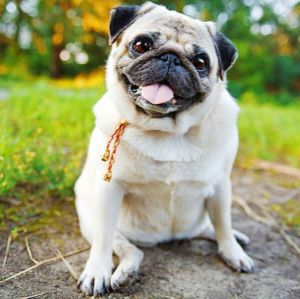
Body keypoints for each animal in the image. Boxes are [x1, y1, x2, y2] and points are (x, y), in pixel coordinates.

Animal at [74, 2, 254, 298]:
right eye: (141, 45)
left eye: (200, 62)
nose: (171, 58)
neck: (168, 131)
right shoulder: (108, 191)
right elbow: (103, 240)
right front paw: (97, 271)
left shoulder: (220, 186)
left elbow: (224, 225)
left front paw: (233, 251)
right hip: (91, 218)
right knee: (129, 249)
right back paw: (124, 273)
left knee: (210, 227)